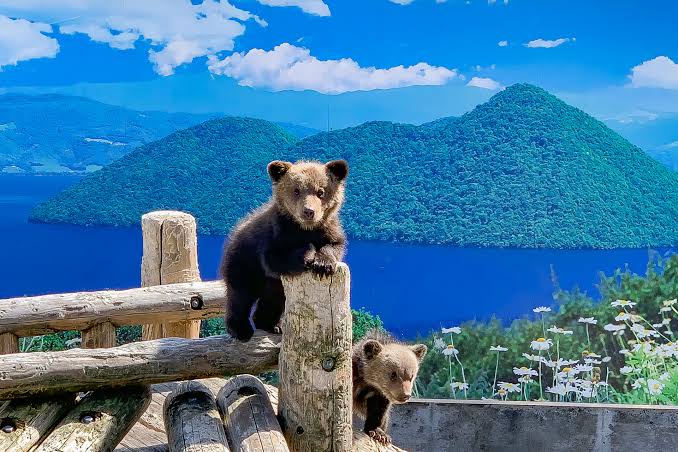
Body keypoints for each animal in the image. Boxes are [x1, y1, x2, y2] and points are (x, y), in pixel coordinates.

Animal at [220, 159, 349, 342]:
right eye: (296, 190)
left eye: (321, 191)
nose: (309, 211)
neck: (305, 229)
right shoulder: (277, 234)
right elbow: (275, 258)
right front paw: (308, 253)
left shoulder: (328, 230)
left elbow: (334, 246)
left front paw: (323, 265)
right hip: (243, 262)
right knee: (240, 295)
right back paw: (241, 330)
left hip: (272, 284)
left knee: (274, 300)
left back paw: (272, 325)